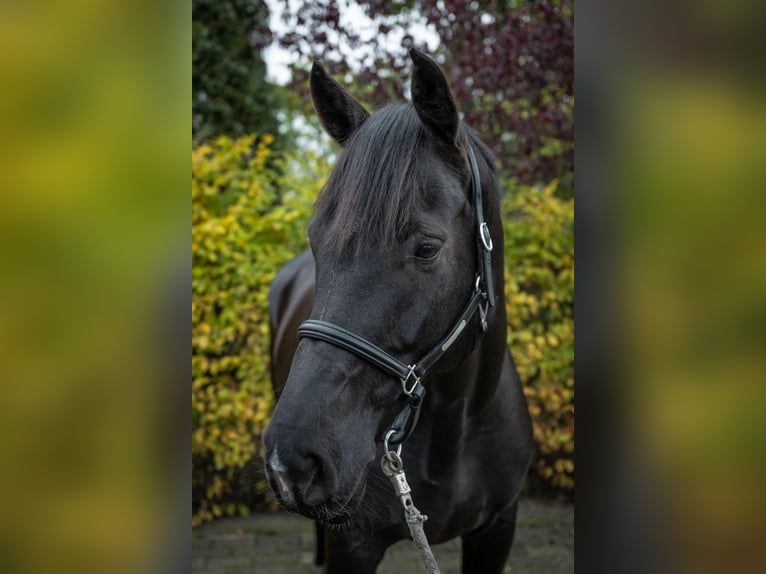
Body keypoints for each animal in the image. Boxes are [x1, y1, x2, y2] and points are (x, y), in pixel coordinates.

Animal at [264, 49, 536, 574]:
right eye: (315, 238)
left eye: (427, 248)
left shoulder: (498, 530)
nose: (294, 460)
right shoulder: (354, 545)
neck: (456, 425)